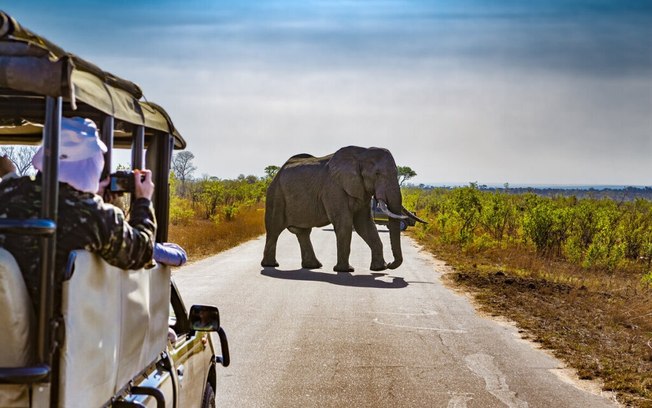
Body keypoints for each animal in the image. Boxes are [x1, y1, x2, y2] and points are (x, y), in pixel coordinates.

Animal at [262, 145, 426, 272]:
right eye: (377, 174)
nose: (391, 264)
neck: (362, 153)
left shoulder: (362, 191)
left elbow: (365, 225)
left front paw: (379, 269)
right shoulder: (333, 188)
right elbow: (345, 224)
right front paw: (346, 270)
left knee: (303, 233)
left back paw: (313, 266)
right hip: (276, 196)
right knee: (274, 229)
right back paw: (271, 265)